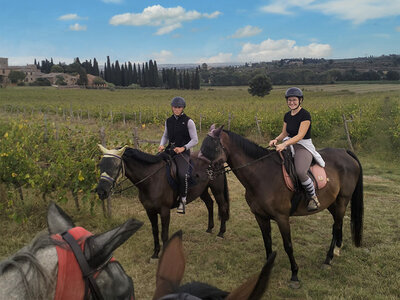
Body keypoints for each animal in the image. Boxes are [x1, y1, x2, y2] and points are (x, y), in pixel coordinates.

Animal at [95, 144, 230, 258]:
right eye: (100, 165)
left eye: (115, 166)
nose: (101, 191)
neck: (151, 179)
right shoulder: (150, 211)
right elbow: (155, 231)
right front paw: (155, 254)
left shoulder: (164, 211)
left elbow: (164, 234)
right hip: (203, 191)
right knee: (210, 204)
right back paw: (209, 229)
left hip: (217, 189)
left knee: (222, 206)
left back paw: (221, 233)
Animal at [198, 125, 364, 288]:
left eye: (212, 146)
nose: (201, 173)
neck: (262, 175)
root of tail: (345, 152)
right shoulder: (260, 216)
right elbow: (267, 240)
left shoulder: (282, 217)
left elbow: (288, 245)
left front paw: (295, 275)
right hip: (331, 202)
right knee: (337, 224)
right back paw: (337, 249)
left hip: (342, 201)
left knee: (336, 226)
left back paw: (328, 259)